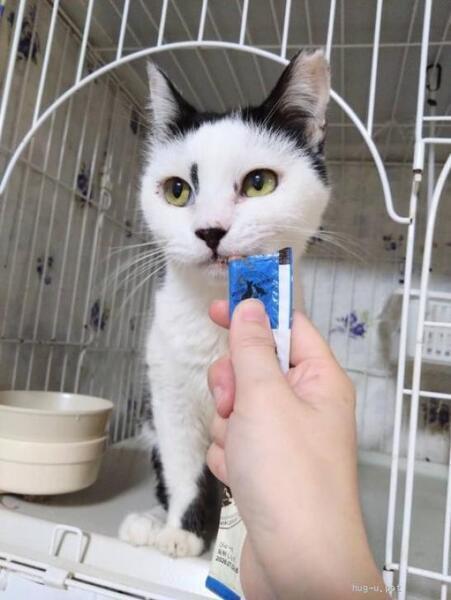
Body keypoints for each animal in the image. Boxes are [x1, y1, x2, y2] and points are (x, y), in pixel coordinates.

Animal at [118, 49, 331, 558]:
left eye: (258, 182)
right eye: (177, 190)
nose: (210, 230)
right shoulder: (169, 396)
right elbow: (184, 472)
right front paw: (182, 533)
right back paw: (148, 523)